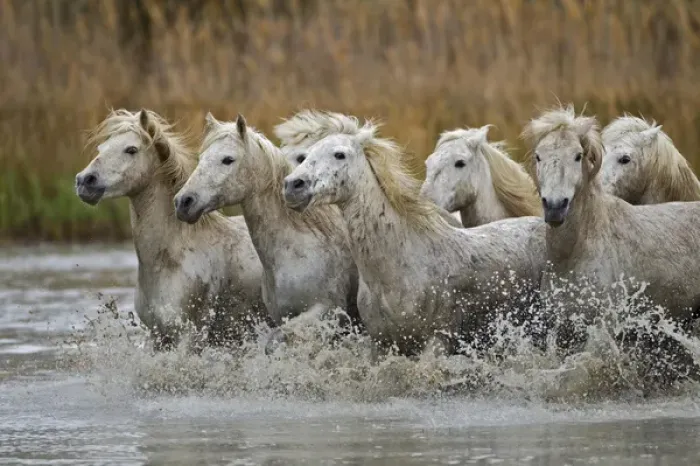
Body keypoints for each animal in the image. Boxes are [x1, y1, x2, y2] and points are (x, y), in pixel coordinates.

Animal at [174, 113, 362, 351]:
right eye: (201, 158)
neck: (297, 250)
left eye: (228, 159)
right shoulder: (284, 316)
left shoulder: (326, 311)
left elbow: (275, 341)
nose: (183, 202)